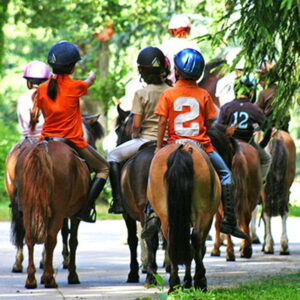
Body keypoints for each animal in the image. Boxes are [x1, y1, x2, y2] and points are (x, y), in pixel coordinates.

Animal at [5, 113, 104, 284]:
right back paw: (48, 277)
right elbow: (71, 239)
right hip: (57, 210)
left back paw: (29, 276)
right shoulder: (72, 214)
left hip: (27, 206)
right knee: (51, 237)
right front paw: (71, 272)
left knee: (28, 234)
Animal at [207, 124, 262, 260]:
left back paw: (233, 252)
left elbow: (218, 223)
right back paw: (245, 249)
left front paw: (216, 249)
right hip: (250, 195)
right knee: (245, 218)